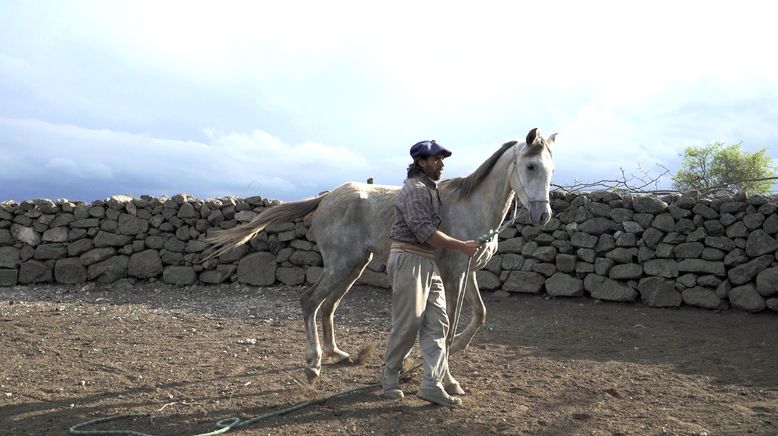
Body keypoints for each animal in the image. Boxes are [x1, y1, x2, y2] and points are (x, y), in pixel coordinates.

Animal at [203, 127, 556, 384]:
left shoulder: (467, 271)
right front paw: (442, 368)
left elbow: (479, 314)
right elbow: (449, 324)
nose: (543, 216)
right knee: (310, 301)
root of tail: (325, 198)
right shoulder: (454, 273)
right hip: (341, 264)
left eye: (551, 169)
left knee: (327, 306)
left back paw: (339, 354)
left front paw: (454, 348)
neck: (472, 207)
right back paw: (314, 363)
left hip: (354, 266)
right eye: (530, 165)